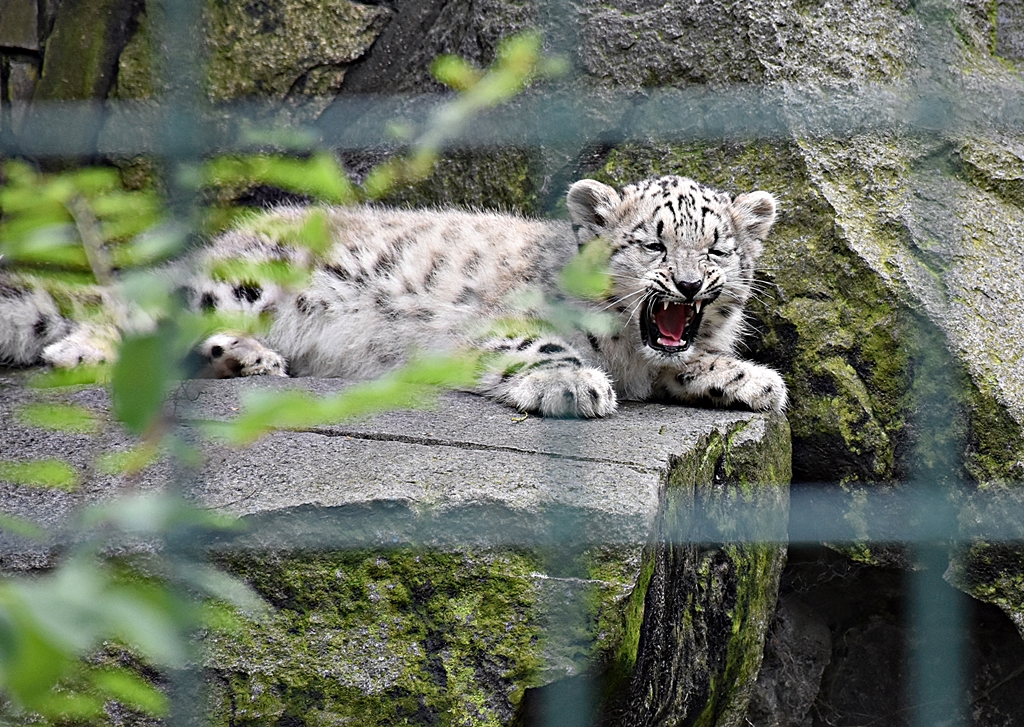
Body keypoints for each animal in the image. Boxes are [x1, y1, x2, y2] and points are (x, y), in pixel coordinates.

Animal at [0, 175, 786, 418]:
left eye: (717, 250)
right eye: (653, 244)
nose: (687, 284)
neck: (630, 349)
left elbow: (687, 363)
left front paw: (754, 379)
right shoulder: (510, 321)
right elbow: (540, 345)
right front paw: (574, 385)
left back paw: (244, 359)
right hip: (234, 283)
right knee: (127, 307)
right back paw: (84, 350)